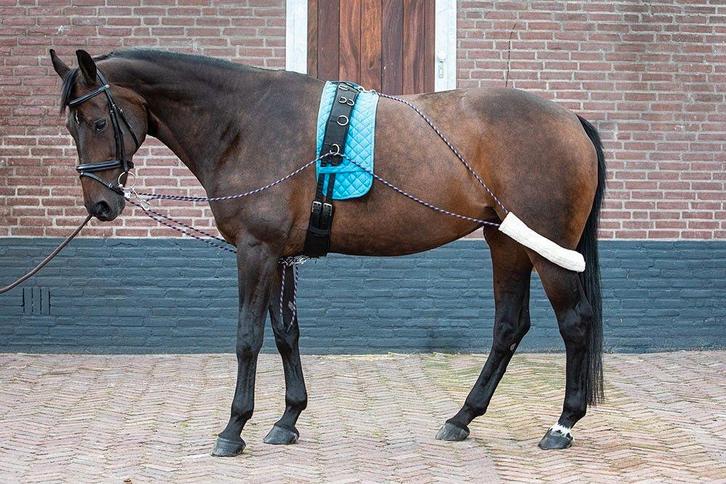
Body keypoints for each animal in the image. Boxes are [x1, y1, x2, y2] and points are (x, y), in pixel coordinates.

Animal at [49, 48, 606, 456]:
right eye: (71, 126)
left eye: (97, 122)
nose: (100, 204)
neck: (246, 120)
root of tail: (571, 120)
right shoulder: (279, 255)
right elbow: (285, 334)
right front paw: (288, 419)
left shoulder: (255, 251)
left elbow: (248, 338)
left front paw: (234, 429)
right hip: (507, 243)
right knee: (509, 327)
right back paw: (461, 418)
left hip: (546, 250)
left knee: (575, 323)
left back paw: (562, 426)